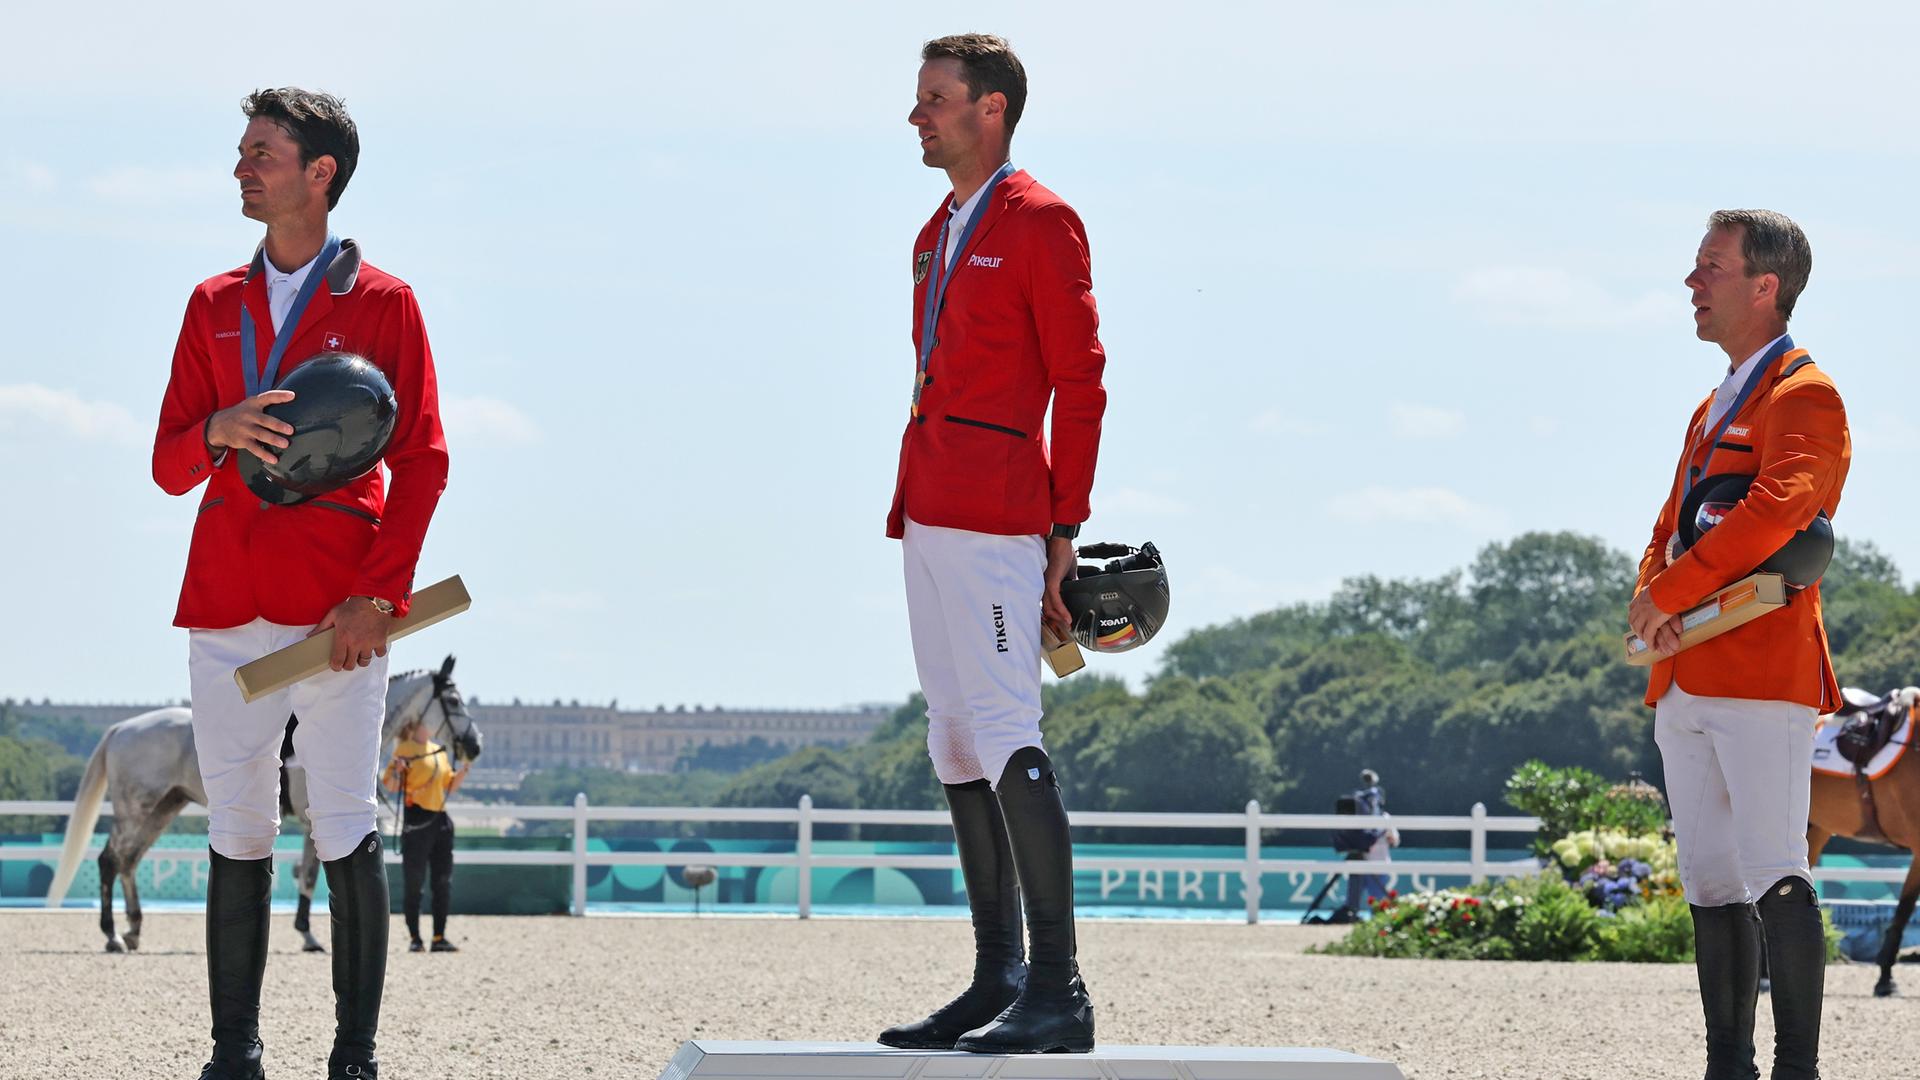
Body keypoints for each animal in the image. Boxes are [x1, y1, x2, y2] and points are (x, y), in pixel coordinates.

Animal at [43, 657, 480, 949]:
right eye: (454, 701)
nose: (474, 745)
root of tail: (123, 727)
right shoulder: (316, 821)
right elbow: (309, 876)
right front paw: (308, 936)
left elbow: (307, 875)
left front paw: (307, 933)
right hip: (137, 809)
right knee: (110, 860)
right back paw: (112, 934)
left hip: (163, 809)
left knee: (129, 861)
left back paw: (133, 929)